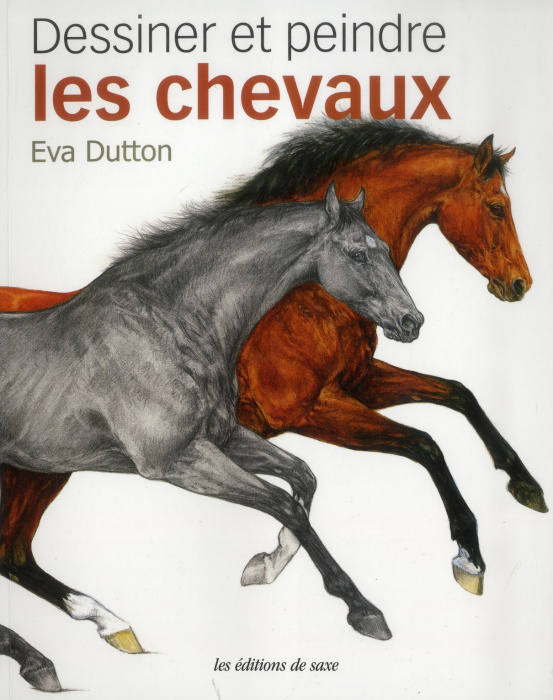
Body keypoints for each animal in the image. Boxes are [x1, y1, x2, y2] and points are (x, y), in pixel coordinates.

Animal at [0, 184, 423, 690]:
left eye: (386, 250)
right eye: (359, 253)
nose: (412, 321)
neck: (172, 327)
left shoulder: (225, 438)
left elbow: (303, 478)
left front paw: (265, 565)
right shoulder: (178, 461)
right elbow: (283, 504)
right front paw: (363, 610)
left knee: (10, 556)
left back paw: (87, 638)